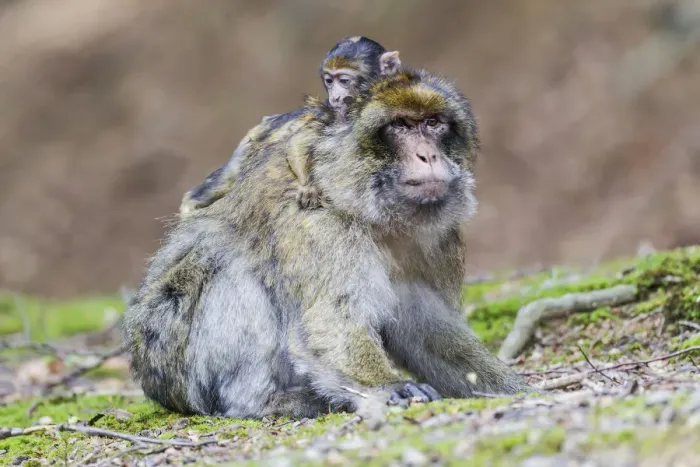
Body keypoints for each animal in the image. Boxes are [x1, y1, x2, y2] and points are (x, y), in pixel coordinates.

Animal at [122, 65, 535, 421]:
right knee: (229, 268)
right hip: (172, 362)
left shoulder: (438, 238)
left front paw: (512, 387)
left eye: (433, 123)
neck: (371, 210)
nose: (428, 154)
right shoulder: (318, 224)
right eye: (400, 126)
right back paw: (260, 401)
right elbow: (329, 320)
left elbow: (425, 323)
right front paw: (389, 386)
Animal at [179, 36, 402, 216]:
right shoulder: (331, 115)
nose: (336, 97)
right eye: (329, 81)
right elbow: (298, 142)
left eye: (344, 80)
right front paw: (307, 185)